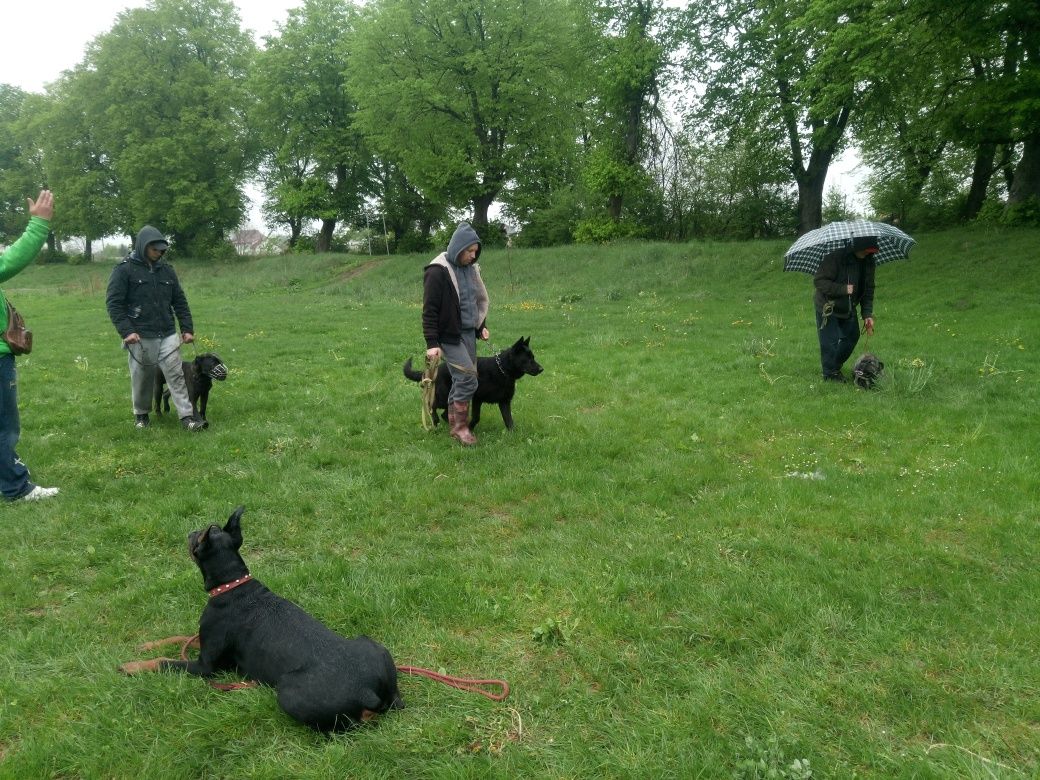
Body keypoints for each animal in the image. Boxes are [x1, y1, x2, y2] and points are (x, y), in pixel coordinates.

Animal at [119, 507, 401, 732]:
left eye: (197, 536)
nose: (189, 531)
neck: (232, 585)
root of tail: (368, 692)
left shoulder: (206, 666)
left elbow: (165, 662)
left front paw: (131, 666)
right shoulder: (208, 642)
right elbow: (180, 637)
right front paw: (145, 646)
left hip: (288, 691)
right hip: (373, 646)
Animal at [401, 336, 544, 434]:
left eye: (533, 357)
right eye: (527, 359)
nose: (541, 369)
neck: (502, 369)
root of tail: (437, 369)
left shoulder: (504, 402)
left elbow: (509, 420)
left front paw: (512, 434)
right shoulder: (477, 399)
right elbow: (476, 417)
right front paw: (469, 429)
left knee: (445, 413)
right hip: (443, 397)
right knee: (432, 406)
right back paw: (436, 421)